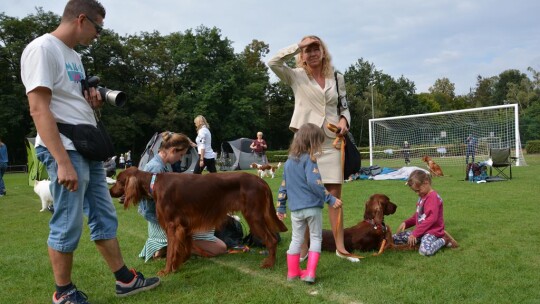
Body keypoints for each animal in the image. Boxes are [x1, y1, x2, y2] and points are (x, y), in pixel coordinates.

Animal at [108, 166, 286, 276]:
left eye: (119, 181)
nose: (109, 191)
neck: (153, 183)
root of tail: (261, 181)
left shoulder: (173, 226)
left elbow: (171, 250)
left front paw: (167, 270)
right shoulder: (184, 226)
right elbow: (184, 248)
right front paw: (180, 263)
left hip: (253, 215)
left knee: (271, 239)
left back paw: (269, 263)